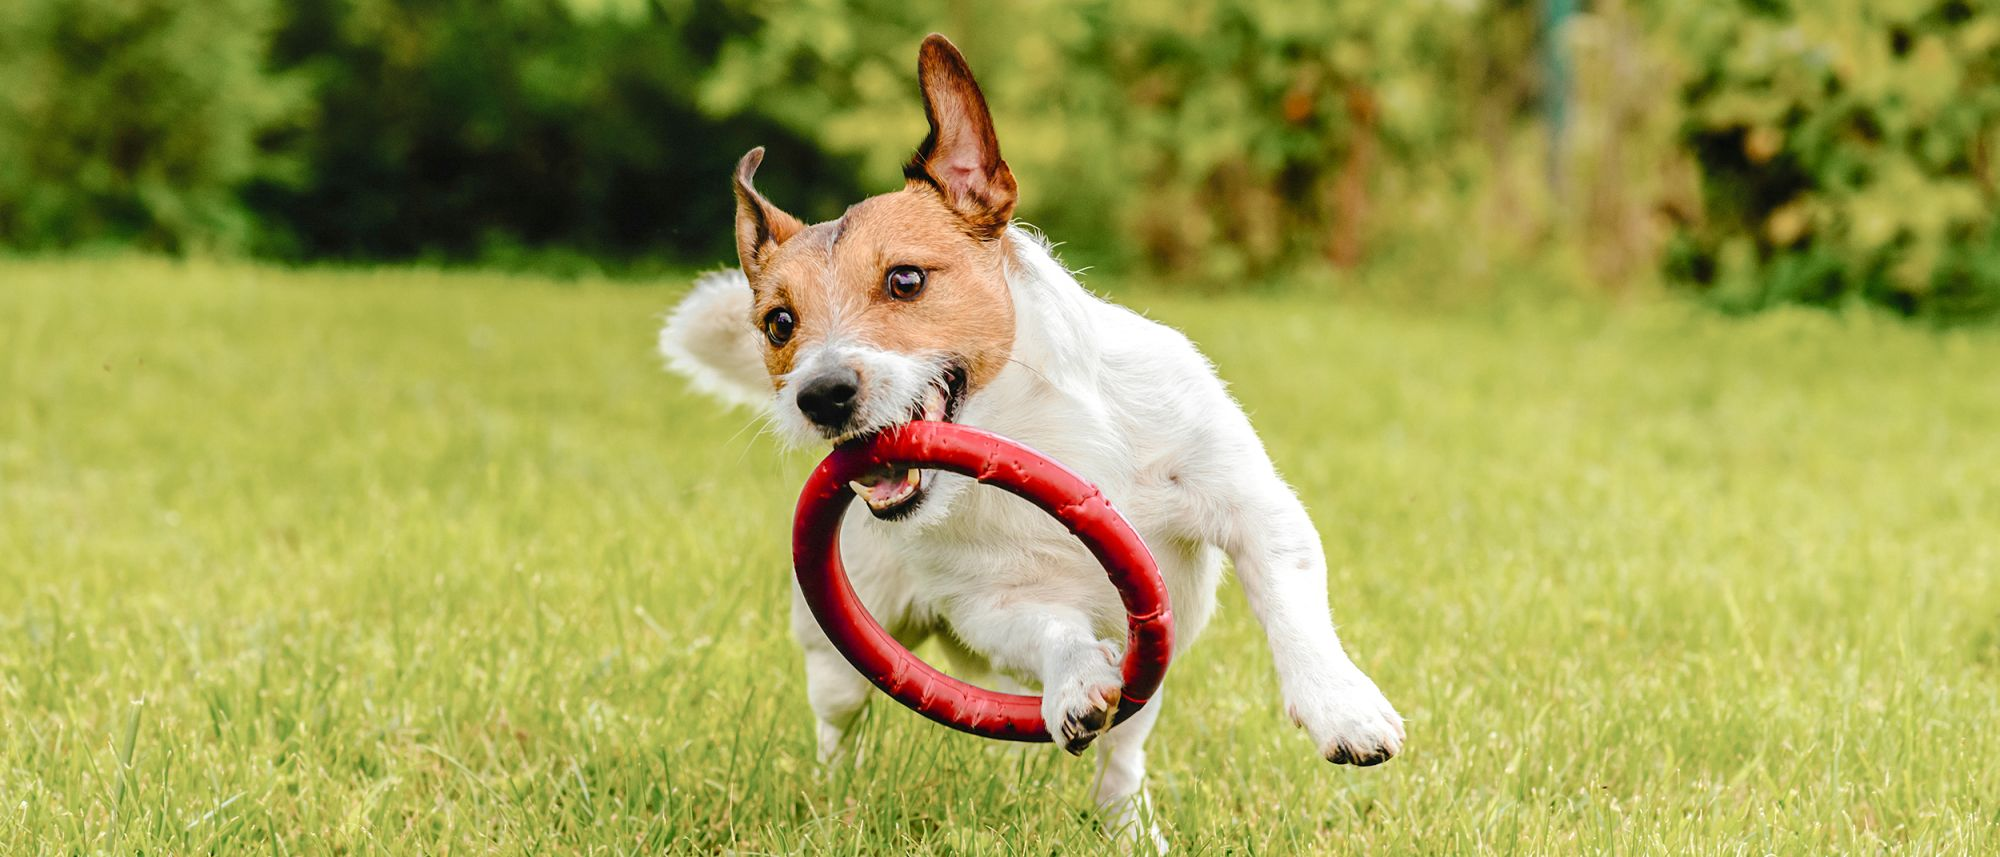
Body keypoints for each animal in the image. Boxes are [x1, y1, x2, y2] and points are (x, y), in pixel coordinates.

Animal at [660, 35, 1408, 848]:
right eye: (778, 324)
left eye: (906, 280)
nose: (819, 396)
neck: (1033, 430)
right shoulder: (992, 603)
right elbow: (1053, 630)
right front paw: (1076, 678)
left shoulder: (1251, 505)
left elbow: (1290, 600)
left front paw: (1343, 708)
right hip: (838, 642)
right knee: (841, 717)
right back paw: (841, 797)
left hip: (1145, 686)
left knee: (1122, 757)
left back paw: (1128, 826)